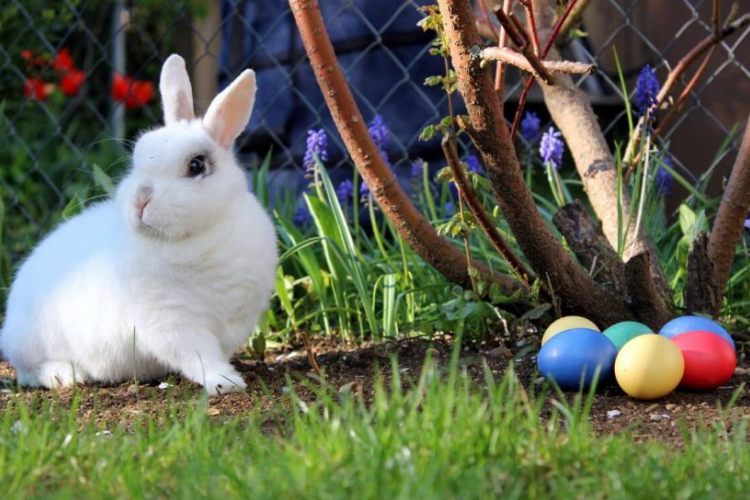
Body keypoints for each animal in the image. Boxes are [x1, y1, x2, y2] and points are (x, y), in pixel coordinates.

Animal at [0, 54, 280, 396]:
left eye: (196, 165)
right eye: (137, 157)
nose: (140, 201)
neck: (198, 238)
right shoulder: (172, 321)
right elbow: (199, 355)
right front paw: (225, 382)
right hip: (32, 343)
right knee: (29, 371)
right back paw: (63, 375)